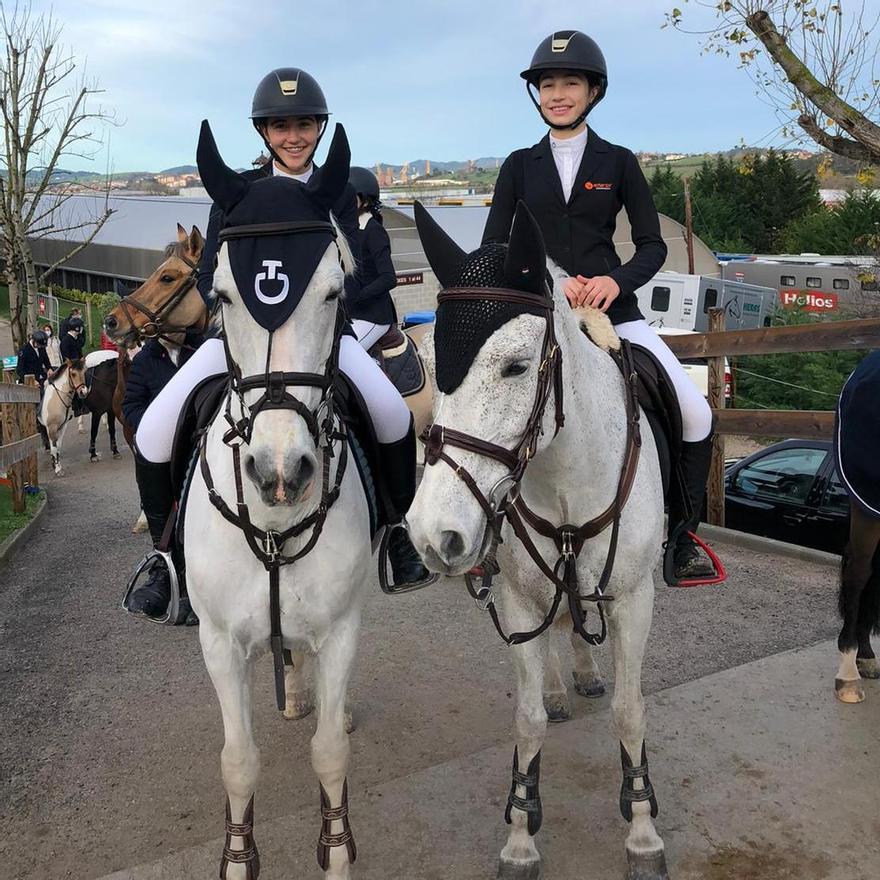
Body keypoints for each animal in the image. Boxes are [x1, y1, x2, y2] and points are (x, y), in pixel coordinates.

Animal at [410, 203, 672, 880]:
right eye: (436, 363)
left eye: (515, 367)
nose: (432, 535)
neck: (563, 474)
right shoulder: (520, 599)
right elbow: (526, 721)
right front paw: (521, 836)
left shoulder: (634, 600)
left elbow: (630, 710)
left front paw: (642, 832)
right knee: (560, 628)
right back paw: (560, 686)